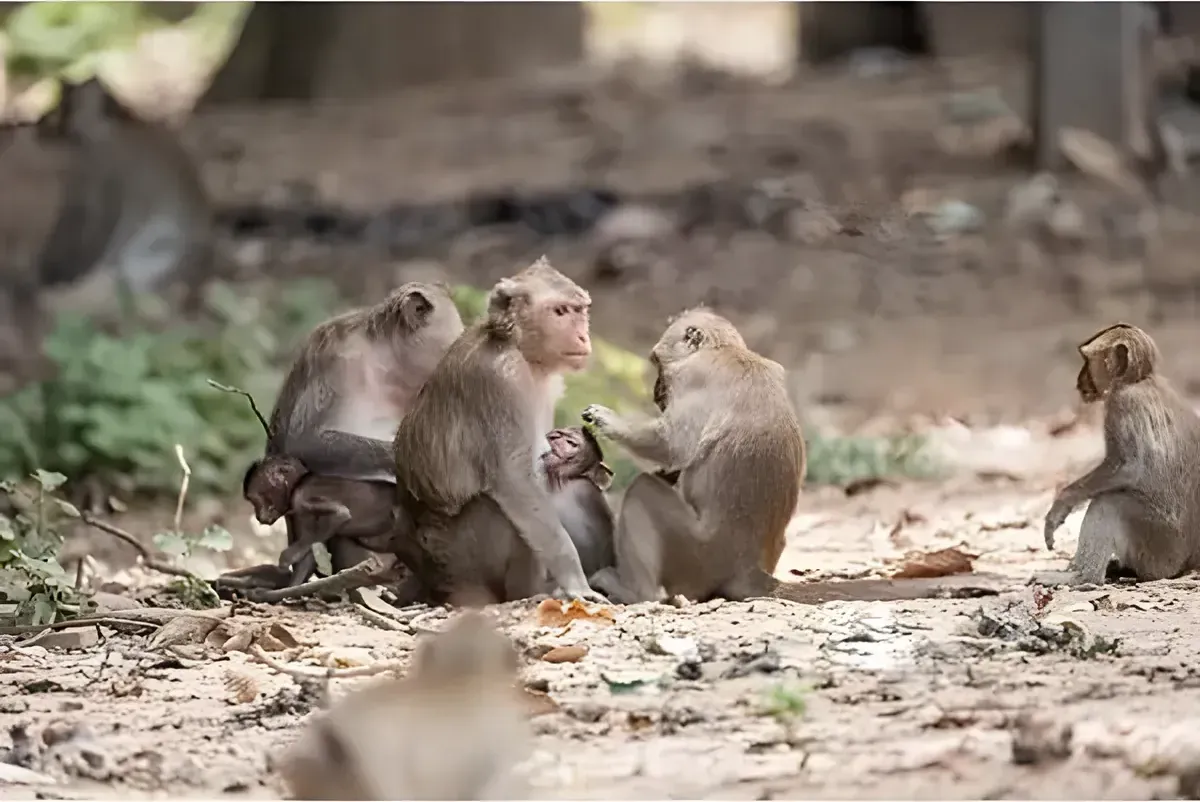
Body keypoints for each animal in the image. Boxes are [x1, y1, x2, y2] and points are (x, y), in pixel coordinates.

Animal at [390, 257, 607, 605]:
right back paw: (525, 592)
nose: (583, 338)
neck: (518, 347)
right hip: (457, 559)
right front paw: (576, 583)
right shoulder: (501, 379)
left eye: (580, 310)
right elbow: (515, 480)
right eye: (560, 312)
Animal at [580, 307, 807, 604]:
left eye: (657, 362)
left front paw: (607, 420)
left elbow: (669, 445)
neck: (727, 349)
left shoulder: (692, 376)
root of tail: (746, 571)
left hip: (695, 555)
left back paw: (635, 592)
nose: (655, 392)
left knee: (642, 490)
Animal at [1036, 323, 1200, 586]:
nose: (1079, 380)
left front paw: (1063, 502)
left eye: (1087, 362)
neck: (1139, 380)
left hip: (1158, 550)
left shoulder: (1121, 403)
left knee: (1109, 503)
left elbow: (1129, 466)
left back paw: (1084, 577)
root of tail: (1187, 564)